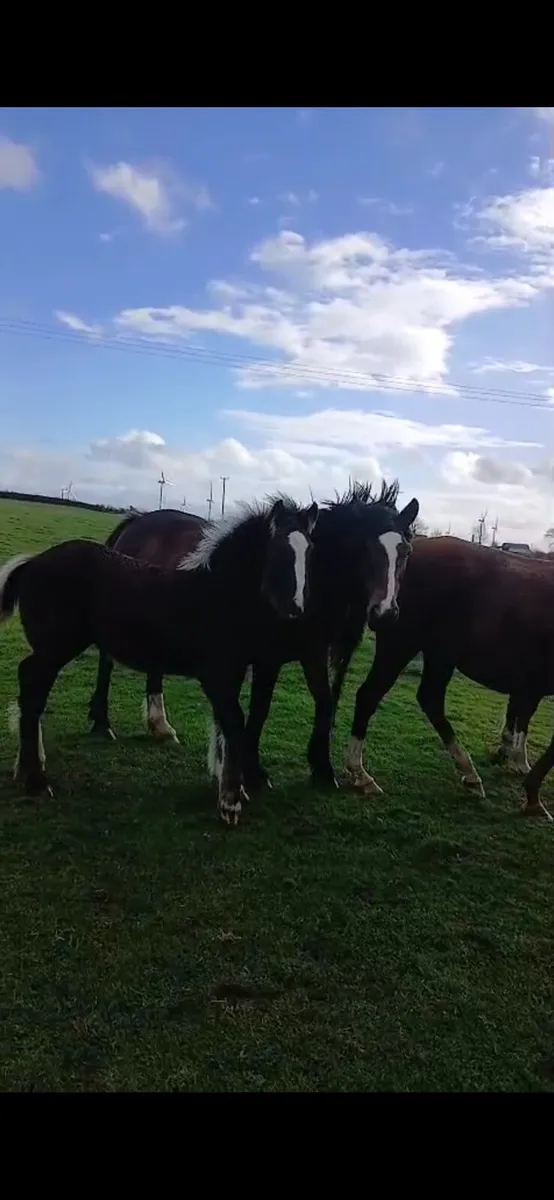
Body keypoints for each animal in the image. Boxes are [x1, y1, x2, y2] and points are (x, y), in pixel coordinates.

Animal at [0, 495, 319, 826]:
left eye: (309, 552)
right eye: (278, 551)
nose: (294, 611)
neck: (216, 594)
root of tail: (34, 562)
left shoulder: (232, 673)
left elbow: (225, 725)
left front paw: (230, 787)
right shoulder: (216, 673)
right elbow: (233, 723)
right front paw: (230, 801)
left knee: (31, 687)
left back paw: (28, 768)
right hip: (57, 646)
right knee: (33, 687)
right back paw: (36, 780)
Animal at [86, 482, 420, 794]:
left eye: (405, 551)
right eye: (366, 548)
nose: (385, 613)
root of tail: (137, 521)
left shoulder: (321, 652)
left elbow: (324, 703)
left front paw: (321, 768)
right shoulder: (274, 656)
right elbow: (265, 707)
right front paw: (256, 773)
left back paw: (160, 726)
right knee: (106, 662)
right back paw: (102, 723)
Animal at [330, 534, 554, 821]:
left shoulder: (528, 683)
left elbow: (520, 715)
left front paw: (515, 761)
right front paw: (532, 795)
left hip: (439, 655)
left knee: (429, 699)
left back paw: (469, 775)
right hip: (403, 646)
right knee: (370, 696)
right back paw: (361, 774)